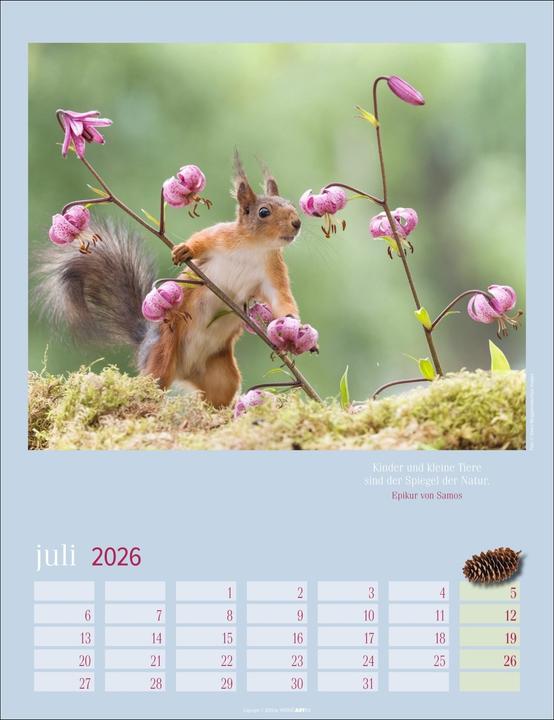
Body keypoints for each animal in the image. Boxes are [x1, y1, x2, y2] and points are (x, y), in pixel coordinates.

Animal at [36, 153, 302, 408]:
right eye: (264, 212)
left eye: (291, 205)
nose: (297, 223)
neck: (254, 247)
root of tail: (184, 371)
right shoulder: (219, 236)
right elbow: (200, 241)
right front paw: (184, 250)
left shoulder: (272, 270)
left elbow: (281, 297)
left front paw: (290, 324)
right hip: (163, 352)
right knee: (152, 382)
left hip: (220, 374)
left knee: (216, 398)